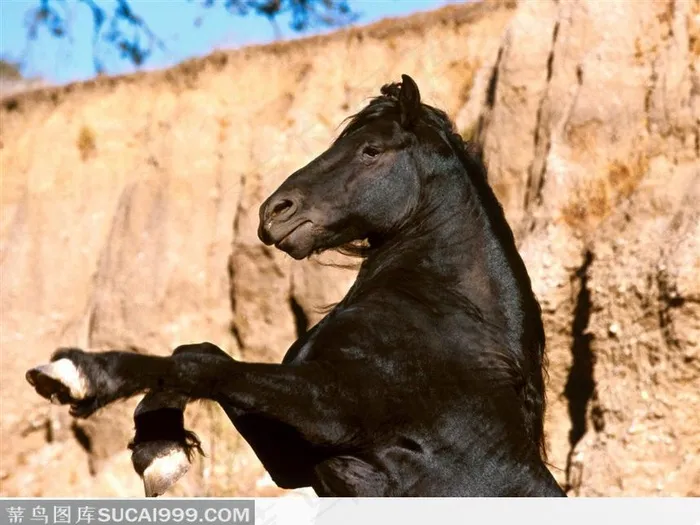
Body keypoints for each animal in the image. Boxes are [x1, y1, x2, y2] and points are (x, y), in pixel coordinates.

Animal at [26, 74, 565, 497]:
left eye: (372, 150)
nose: (274, 212)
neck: (445, 326)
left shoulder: (330, 410)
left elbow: (199, 365)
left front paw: (75, 374)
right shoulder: (295, 458)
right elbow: (200, 357)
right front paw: (158, 449)